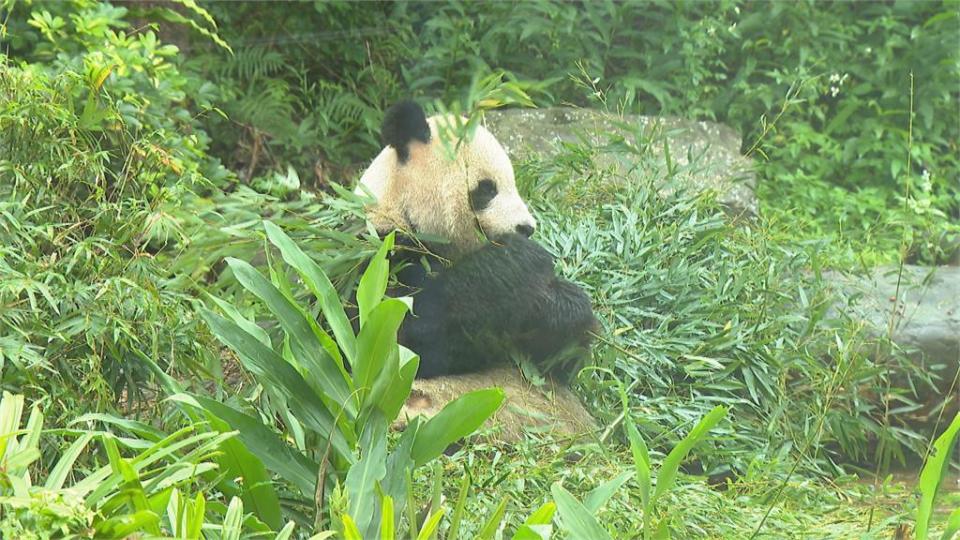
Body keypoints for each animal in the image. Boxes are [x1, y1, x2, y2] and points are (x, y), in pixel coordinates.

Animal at [354, 102, 592, 380]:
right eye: (488, 188)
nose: (526, 228)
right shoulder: (381, 254)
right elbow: (405, 336)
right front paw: (525, 259)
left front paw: (564, 308)